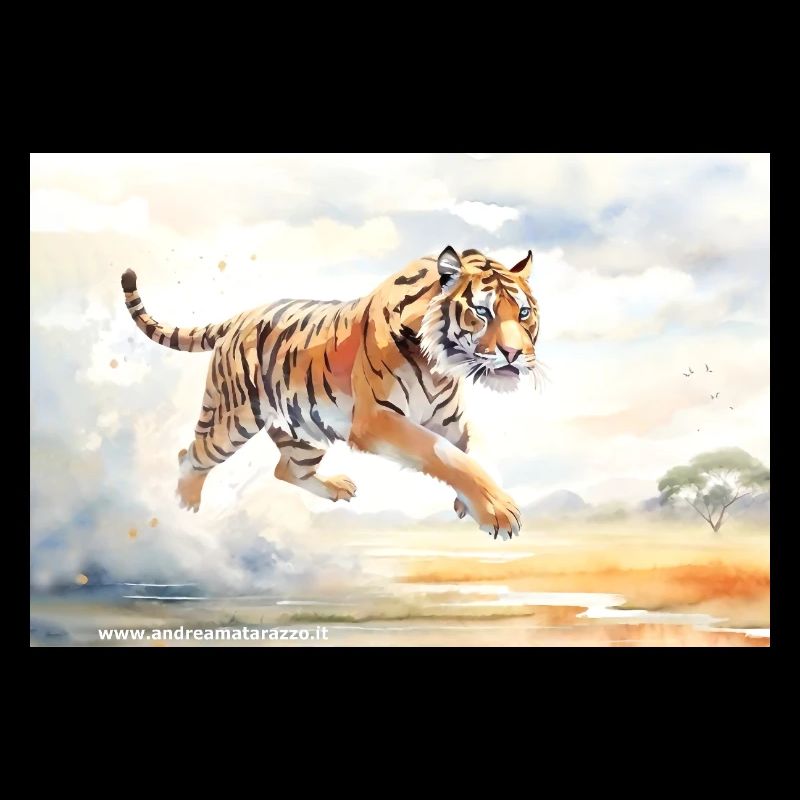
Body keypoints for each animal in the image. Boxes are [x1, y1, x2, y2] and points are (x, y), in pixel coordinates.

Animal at [121, 246, 539, 540]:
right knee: (190, 455)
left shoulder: (450, 419)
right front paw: (498, 512)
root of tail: (237, 319)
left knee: (286, 468)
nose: (514, 354)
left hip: (304, 425)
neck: (440, 363)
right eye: (482, 313)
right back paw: (186, 509)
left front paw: (470, 503)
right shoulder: (377, 419)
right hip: (232, 418)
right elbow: (443, 454)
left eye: (523, 314)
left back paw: (337, 487)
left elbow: (469, 452)